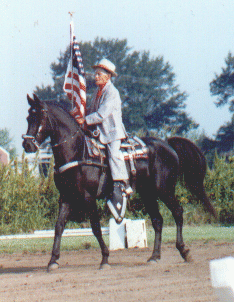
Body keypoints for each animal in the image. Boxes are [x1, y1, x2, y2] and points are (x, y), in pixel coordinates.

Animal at [22, 94, 218, 272]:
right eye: (28, 117)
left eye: (39, 116)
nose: (27, 145)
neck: (78, 152)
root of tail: (167, 144)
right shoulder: (66, 197)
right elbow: (59, 227)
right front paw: (53, 260)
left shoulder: (88, 197)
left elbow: (95, 228)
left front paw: (105, 259)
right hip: (148, 193)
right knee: (158, 220)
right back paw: (154, 256)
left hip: (164, 189)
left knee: (177, 212)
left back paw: (184, 251)